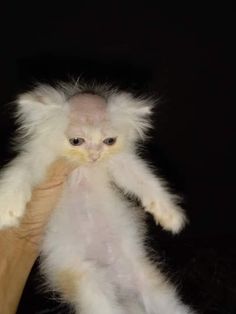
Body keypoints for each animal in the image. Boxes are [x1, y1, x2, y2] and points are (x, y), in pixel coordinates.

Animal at [0, 82, 195, 312]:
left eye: (109, 141)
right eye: (76, 141)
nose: (94, 156)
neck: (85, 170)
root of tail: (119, 282)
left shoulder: (121, 163)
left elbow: (145, 180)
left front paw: (170, 215)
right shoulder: (40, 159)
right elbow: (21, 172)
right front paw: (7, 208)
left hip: (150, 283)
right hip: (89, 284)